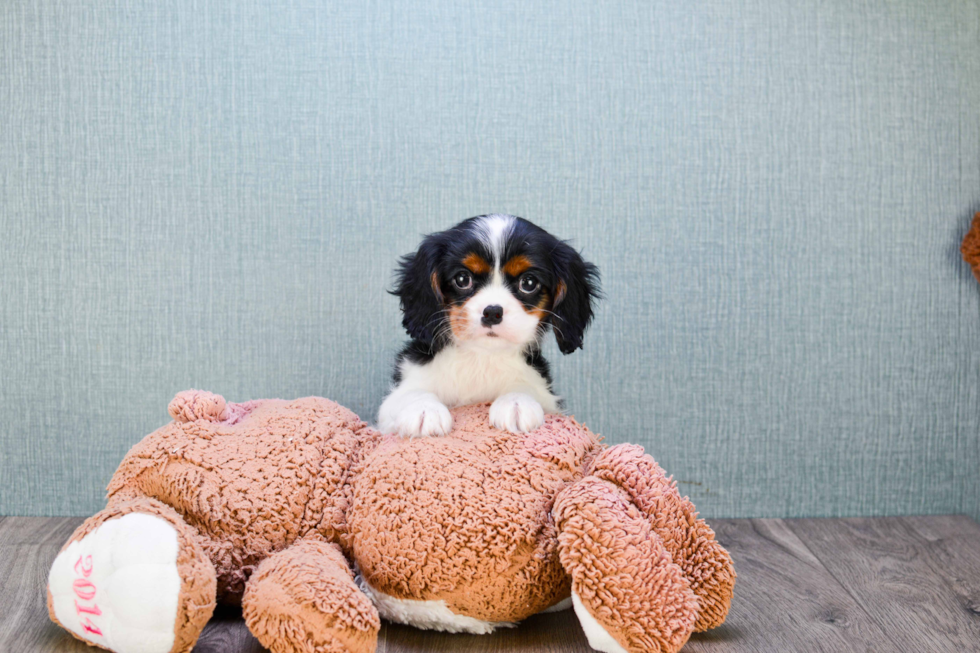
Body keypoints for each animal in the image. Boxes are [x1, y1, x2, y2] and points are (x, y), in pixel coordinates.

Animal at [380, 215, 596, 438]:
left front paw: (517, 402)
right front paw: (423, 410)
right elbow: (412, 392)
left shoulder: (546, 395)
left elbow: (526, 386)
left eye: (528, 282)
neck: (481, 357)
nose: (492, 312)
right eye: (462, 279)